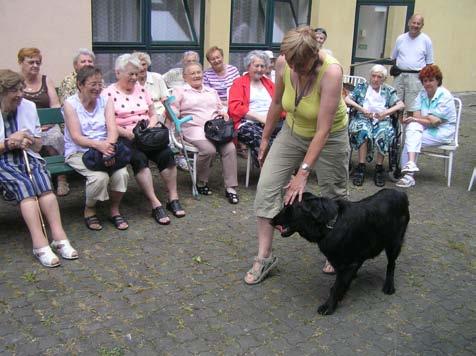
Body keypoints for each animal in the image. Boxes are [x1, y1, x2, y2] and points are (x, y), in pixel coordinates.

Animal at [272, 189, 410, 314]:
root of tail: (401, 193)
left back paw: (389, 285)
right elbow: (339, 284)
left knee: (391, 265)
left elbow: (337, 286)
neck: (331, 224)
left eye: (288, 208)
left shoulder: (346, 263)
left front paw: (328, 306)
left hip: (394, 242)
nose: (271, 221)